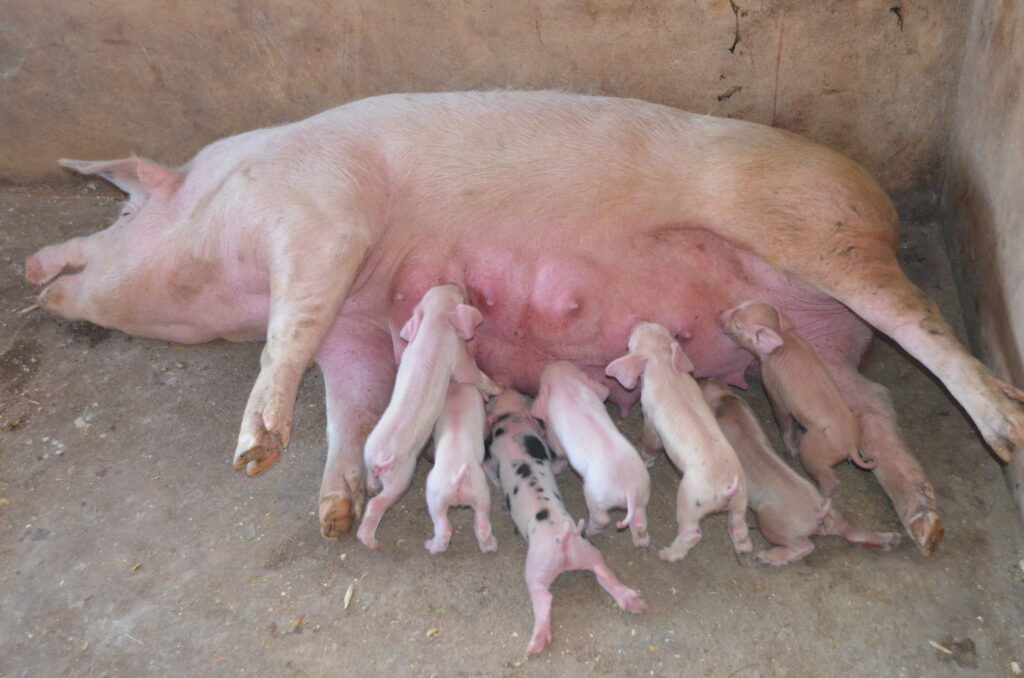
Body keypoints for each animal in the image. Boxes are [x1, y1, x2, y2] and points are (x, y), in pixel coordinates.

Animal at [25, 91, 1024, 557]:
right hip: (813, 345)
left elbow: (288, 334)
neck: (230, 214)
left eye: (119, 213)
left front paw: (253, 451)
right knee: (875, 405)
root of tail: (883, 205)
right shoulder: (357, 325)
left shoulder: (319, 221)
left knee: (923, 323)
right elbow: (351, 402)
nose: (32, 274)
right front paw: (333, 510)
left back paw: (1006, 429)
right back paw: (927, 525)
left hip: (821, 234)